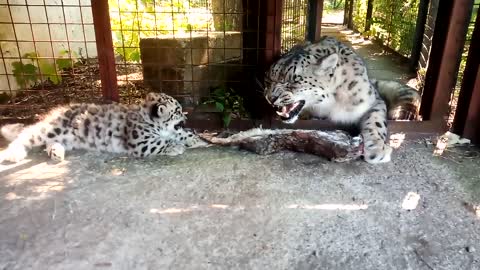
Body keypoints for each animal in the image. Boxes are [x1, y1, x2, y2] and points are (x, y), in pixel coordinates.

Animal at [0, 92, 206, 162]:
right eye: (177, 111)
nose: (185, 116)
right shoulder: (141, 141)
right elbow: (160, 142)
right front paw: (176, 146)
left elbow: (179, 135)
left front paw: (195, 139)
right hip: (52, 128)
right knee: (26, 135)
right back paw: (13, 154)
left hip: (64, 137)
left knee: (49, 143)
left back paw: (57, 153)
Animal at [264, 35, 418, 162]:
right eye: (269, 79)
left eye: (293, 81)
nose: (270, 98)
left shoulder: (374, 100)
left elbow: (376, 120)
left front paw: (376, 148)